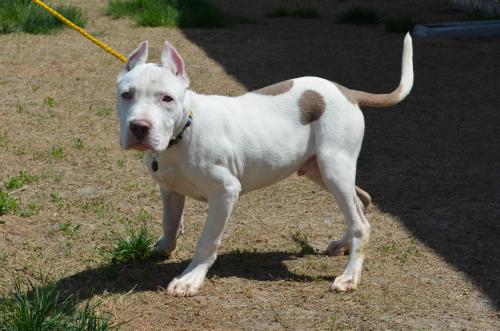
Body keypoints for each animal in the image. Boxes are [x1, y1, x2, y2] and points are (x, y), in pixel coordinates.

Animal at [114, 34, 414, 298]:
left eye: (167, 98)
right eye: (126, 95)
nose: (139, 127)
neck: (183, 130)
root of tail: (347, 92)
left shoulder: (225, 192)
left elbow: (207, 240)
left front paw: (190, 279)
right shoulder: (170, 189)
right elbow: (170, 222)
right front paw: (163, 248)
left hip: (334, 167)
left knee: (361, 223)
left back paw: (350, 276)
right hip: (319, 169)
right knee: (361, 202)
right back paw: (342, 245)